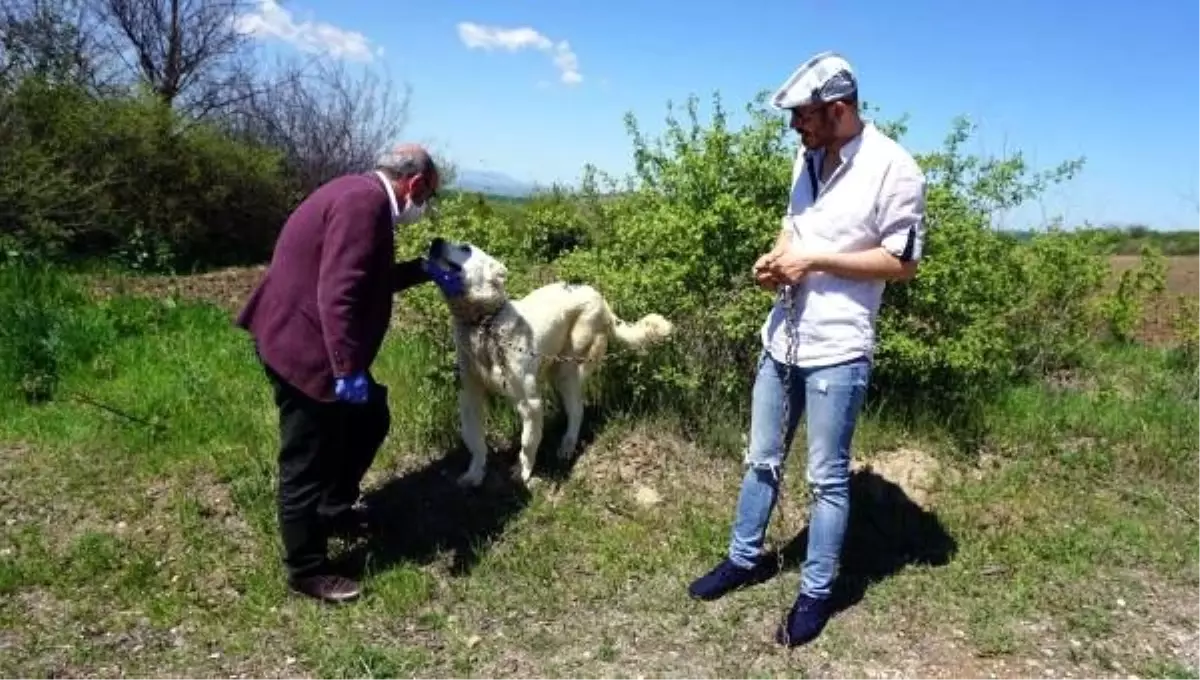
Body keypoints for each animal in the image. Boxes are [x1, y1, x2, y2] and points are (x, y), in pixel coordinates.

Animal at [427, 236, 676, 486]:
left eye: (465, 248)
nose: (435, 242)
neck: (483, 323)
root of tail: (601, 299)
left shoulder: (530, 402)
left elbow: (528, 442)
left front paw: (522, 472)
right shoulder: (469, 397)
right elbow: (475, 441)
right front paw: (474, 474)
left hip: (567, 368)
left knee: (577, 410)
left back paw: (566, 446)